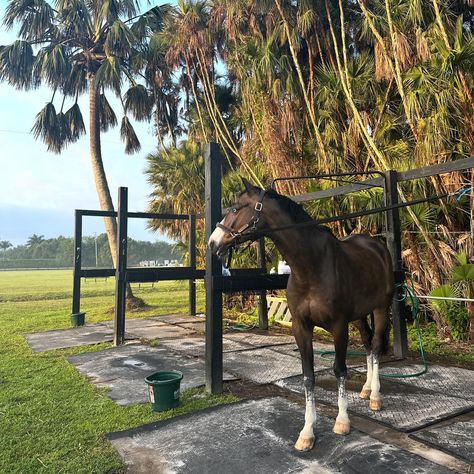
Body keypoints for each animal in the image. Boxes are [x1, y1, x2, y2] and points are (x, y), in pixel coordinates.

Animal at [209, 179, 394, 452]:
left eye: (235, 207)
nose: (213, 242)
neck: (311, 267)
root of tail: (376, 246)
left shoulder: (339, 326)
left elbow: (340, 370)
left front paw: (342, 421)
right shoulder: (301, 327)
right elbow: (308, 377)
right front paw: (307, 432)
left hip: (381, 308)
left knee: (378, 346)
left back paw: (376, 397)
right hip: (360, 315)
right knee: (369, 345)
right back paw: (366, 389)